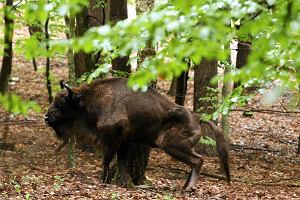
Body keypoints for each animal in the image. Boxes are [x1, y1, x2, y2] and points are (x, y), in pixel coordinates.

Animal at [44, 77, 230, 191]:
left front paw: (105, 181)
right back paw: (185, 186)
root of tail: (197, 117)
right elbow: (121, 162)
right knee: (195, 162)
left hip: (172, 145)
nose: (46, 117)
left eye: (62, 101)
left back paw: (189, 188)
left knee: (198, 160)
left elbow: (107, 160)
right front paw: (124, 183)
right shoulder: (125, 142)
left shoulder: (114, 138)